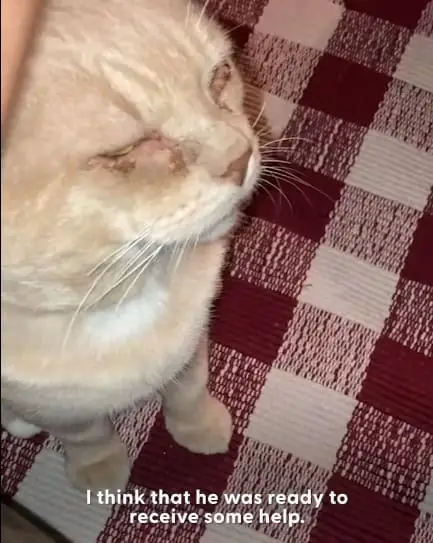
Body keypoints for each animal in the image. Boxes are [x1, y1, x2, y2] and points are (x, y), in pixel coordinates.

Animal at [1, 0, 261, 492]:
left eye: (220, 77)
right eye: (126, 153)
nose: (241, 158)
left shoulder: (191, 343)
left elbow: (188, 389)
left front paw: (198, 427)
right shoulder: (57, 407)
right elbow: (86, 434)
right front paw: (99, 467)